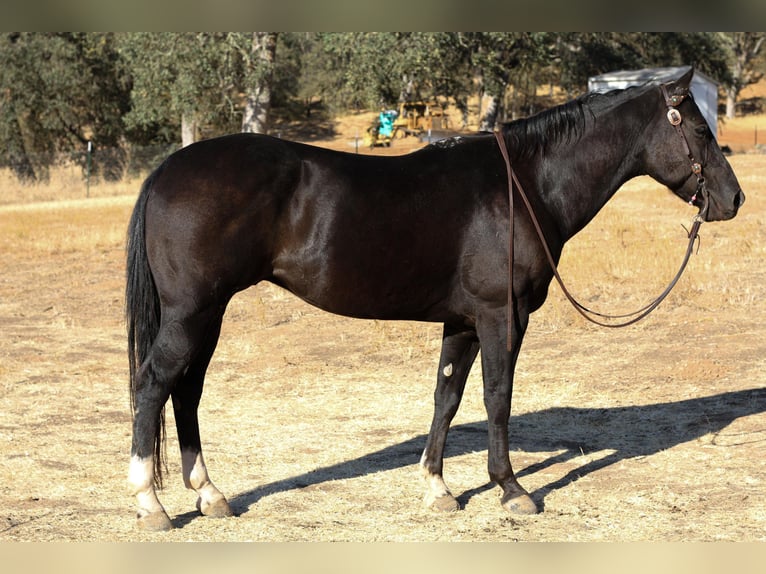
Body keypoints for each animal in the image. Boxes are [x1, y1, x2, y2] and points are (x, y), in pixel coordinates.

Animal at [126, 68, 744, 531]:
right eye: (699, 129)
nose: (734, 199)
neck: (524, 185)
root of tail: (166, 170)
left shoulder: (463, 322)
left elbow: (446, 397)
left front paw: (437, 488)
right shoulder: (502, 317)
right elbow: (497, 397)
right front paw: (511, 488)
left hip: (209, 314)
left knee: (187, 391)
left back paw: (209, 494)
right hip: (192, 313)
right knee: (154, 384)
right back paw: (150, 503)